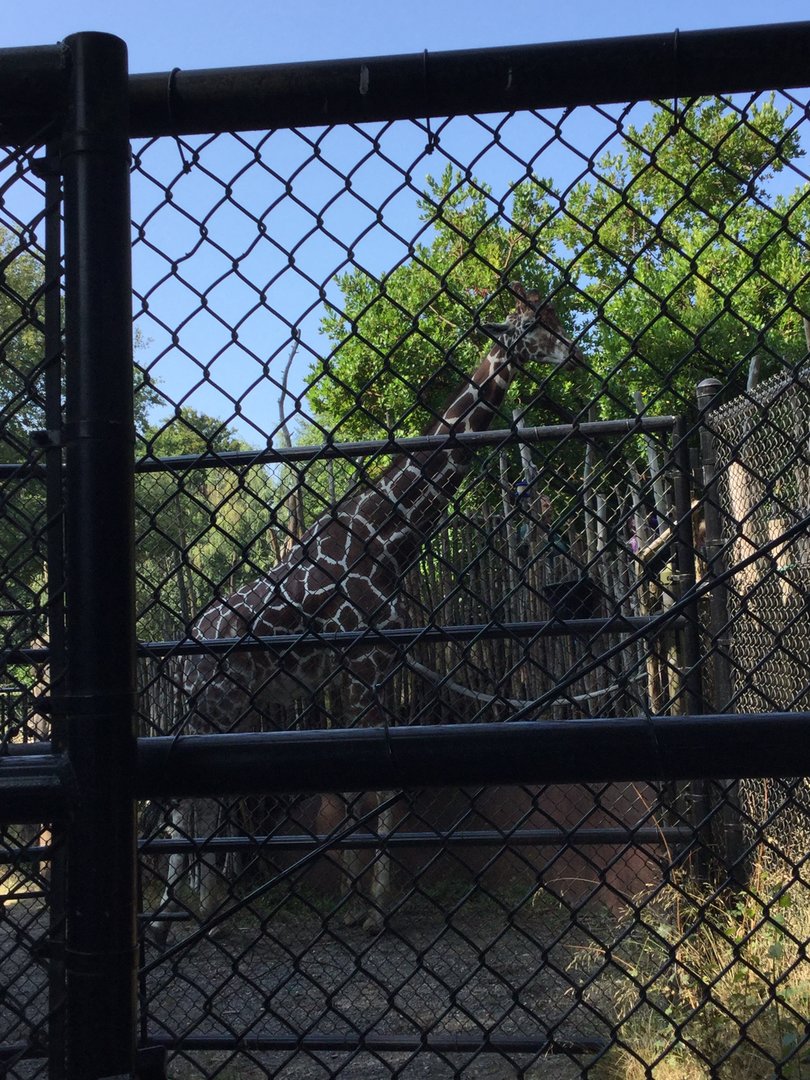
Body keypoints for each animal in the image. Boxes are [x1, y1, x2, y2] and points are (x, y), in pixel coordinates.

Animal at [151, 282, 583, 944]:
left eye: (554, 315)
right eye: (530, 325)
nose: (575, 353)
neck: (386, 536)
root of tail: (180, 654)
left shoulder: (364, 672)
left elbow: (361, 789)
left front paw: (358, 903)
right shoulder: (365, 667)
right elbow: (372, 789)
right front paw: (374, 910)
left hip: (230, 711)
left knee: (194, 807)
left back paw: (197, 913)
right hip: (211, 708)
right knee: (188, 807)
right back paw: (185, 918)